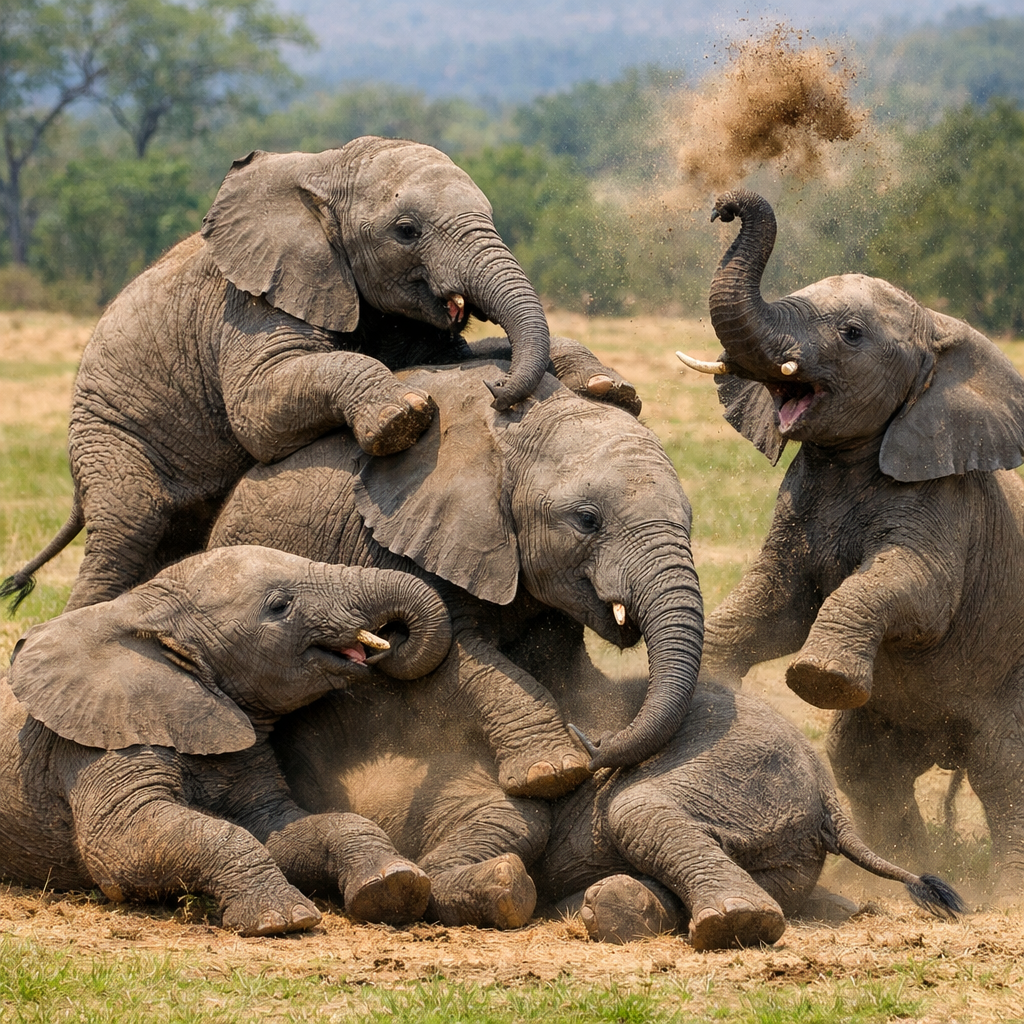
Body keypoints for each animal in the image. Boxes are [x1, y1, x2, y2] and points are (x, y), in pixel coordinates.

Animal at [0, 545, 453, 936]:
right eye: (280, 605)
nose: (391, 643)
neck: (145, 612)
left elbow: (280, 823)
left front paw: (395, 885)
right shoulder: (100, 737)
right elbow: (122, 841)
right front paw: (282, 920)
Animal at [1, 137, 636, 613]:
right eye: (406, 230)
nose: (501, 392)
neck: (324, 168)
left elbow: (450, 360)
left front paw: (609, 389)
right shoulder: (253, 297)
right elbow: (260, 410)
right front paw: (402, 418)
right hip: (108, 433)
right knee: (130, 523)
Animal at [206, 359, 701, 801]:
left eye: (690, 518)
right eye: (587, 520)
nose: (596, 740)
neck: (511, 430)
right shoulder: (400, 540)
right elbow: (453, 658)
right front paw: (551, 775)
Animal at [273, 608, 964, 949]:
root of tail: (827, 800)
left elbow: (521, 817)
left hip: (734, 773)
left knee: (635, 810)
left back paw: (726, 924)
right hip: (786, 852)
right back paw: (609, 907)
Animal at [678, 188, 1024, 891]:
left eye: (852, 334)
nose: (724, 206)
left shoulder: (946, 503)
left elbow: (918, 593)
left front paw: (819, 679)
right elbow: (777, 601)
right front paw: (712, 681)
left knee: (1004, 773)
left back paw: (1003, 893)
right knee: (864, 763)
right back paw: (914, 867)